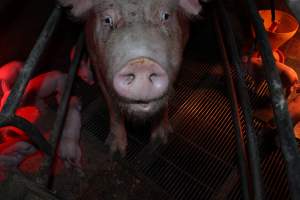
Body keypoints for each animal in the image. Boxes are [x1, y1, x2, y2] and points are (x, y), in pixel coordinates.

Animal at [57, 0, 210, 155]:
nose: (142, 64)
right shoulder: (96, 61)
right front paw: (116, 151)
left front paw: (161, 139)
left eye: (166, 16)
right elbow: (113, 106)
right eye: (107, 20)